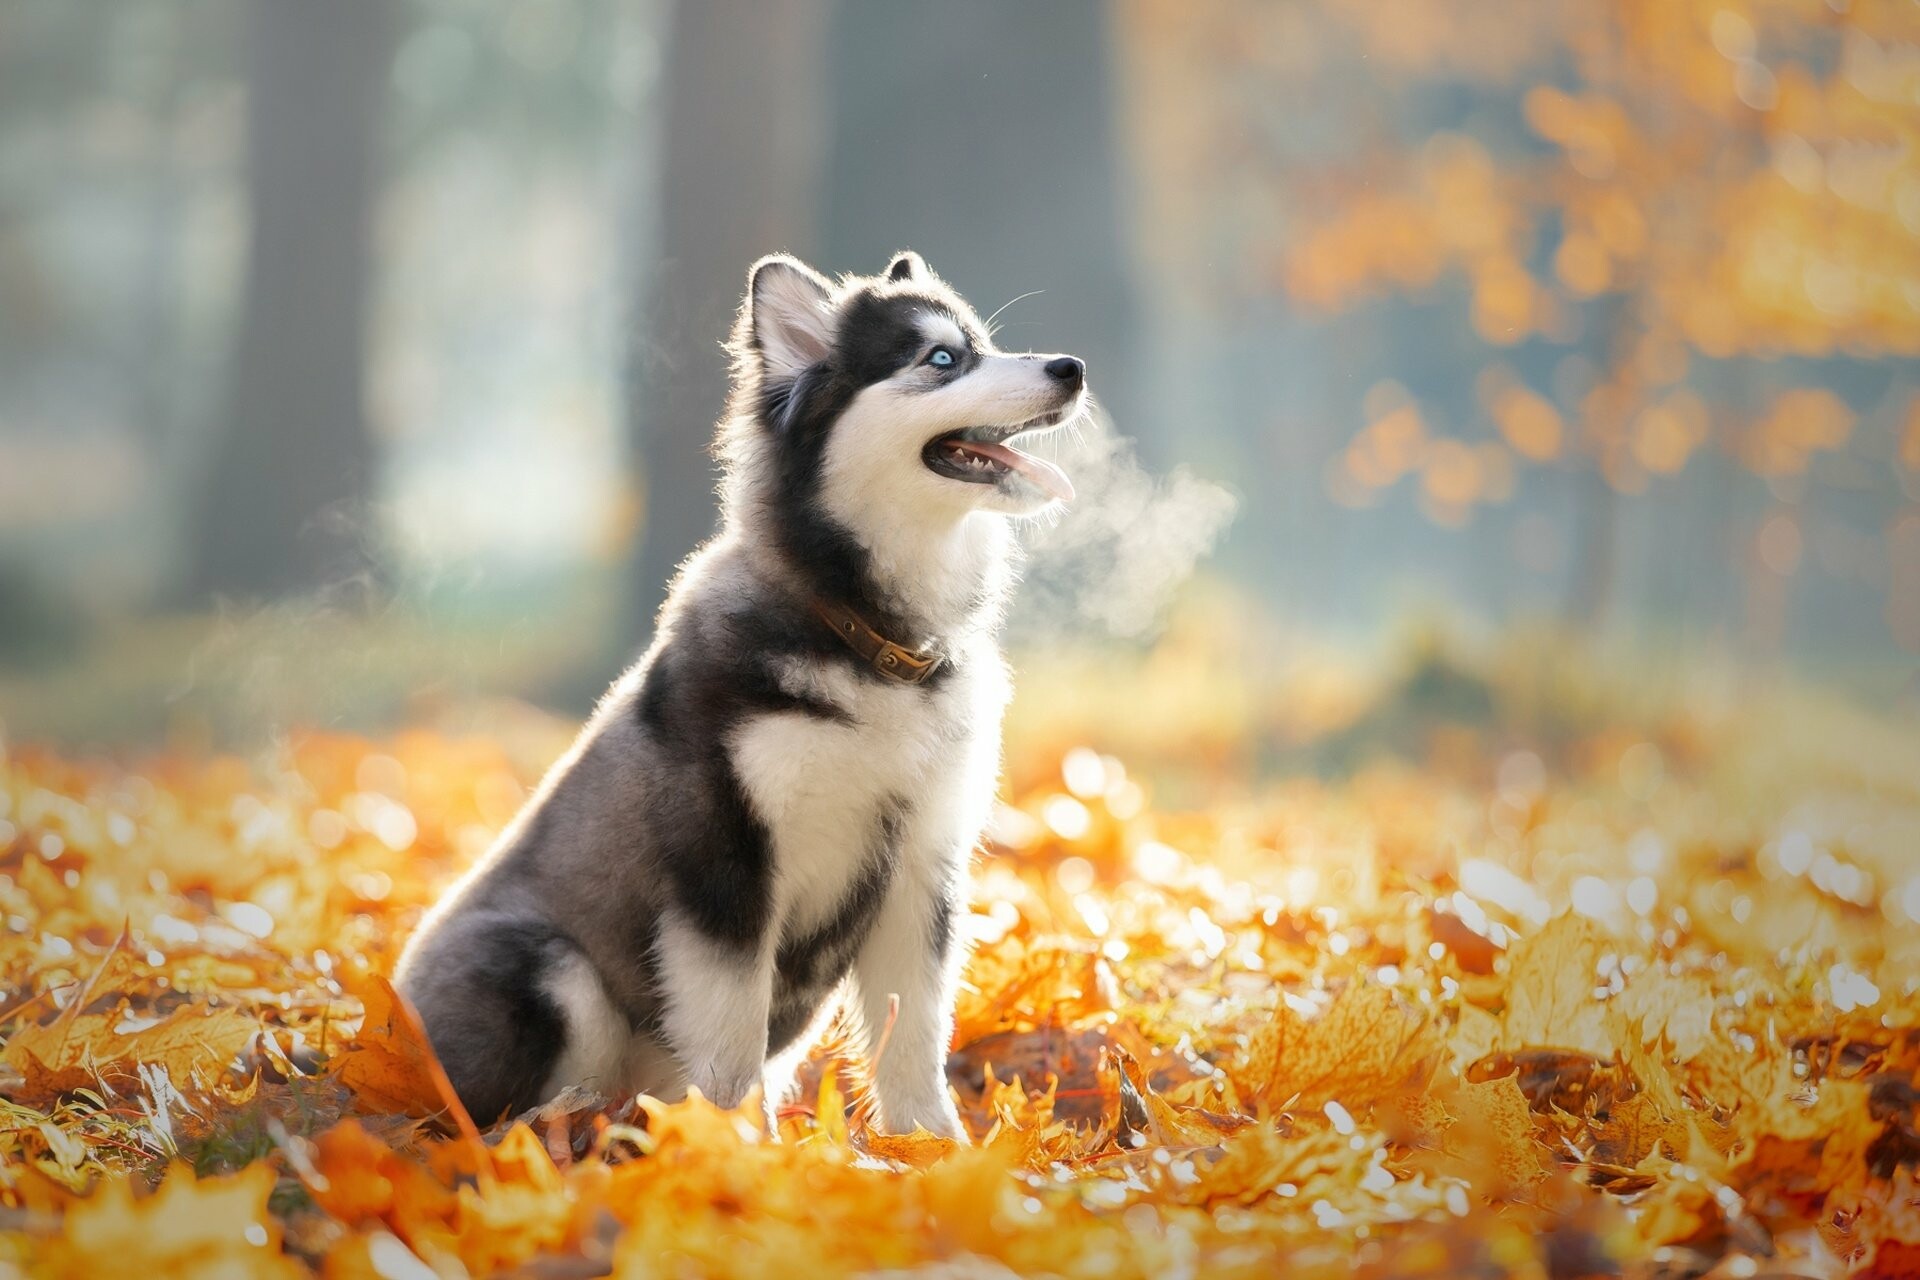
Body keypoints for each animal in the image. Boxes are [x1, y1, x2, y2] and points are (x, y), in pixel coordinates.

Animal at [393, 253, 1082, 1143]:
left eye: (985, 345)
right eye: (940, 359)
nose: (1072, 368)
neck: (870, 641)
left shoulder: (923, 862)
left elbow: (917, 1033)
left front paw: (931, 1149)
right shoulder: (725, 866)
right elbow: (728, 1037)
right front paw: (741, 1150)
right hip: (547, 970)